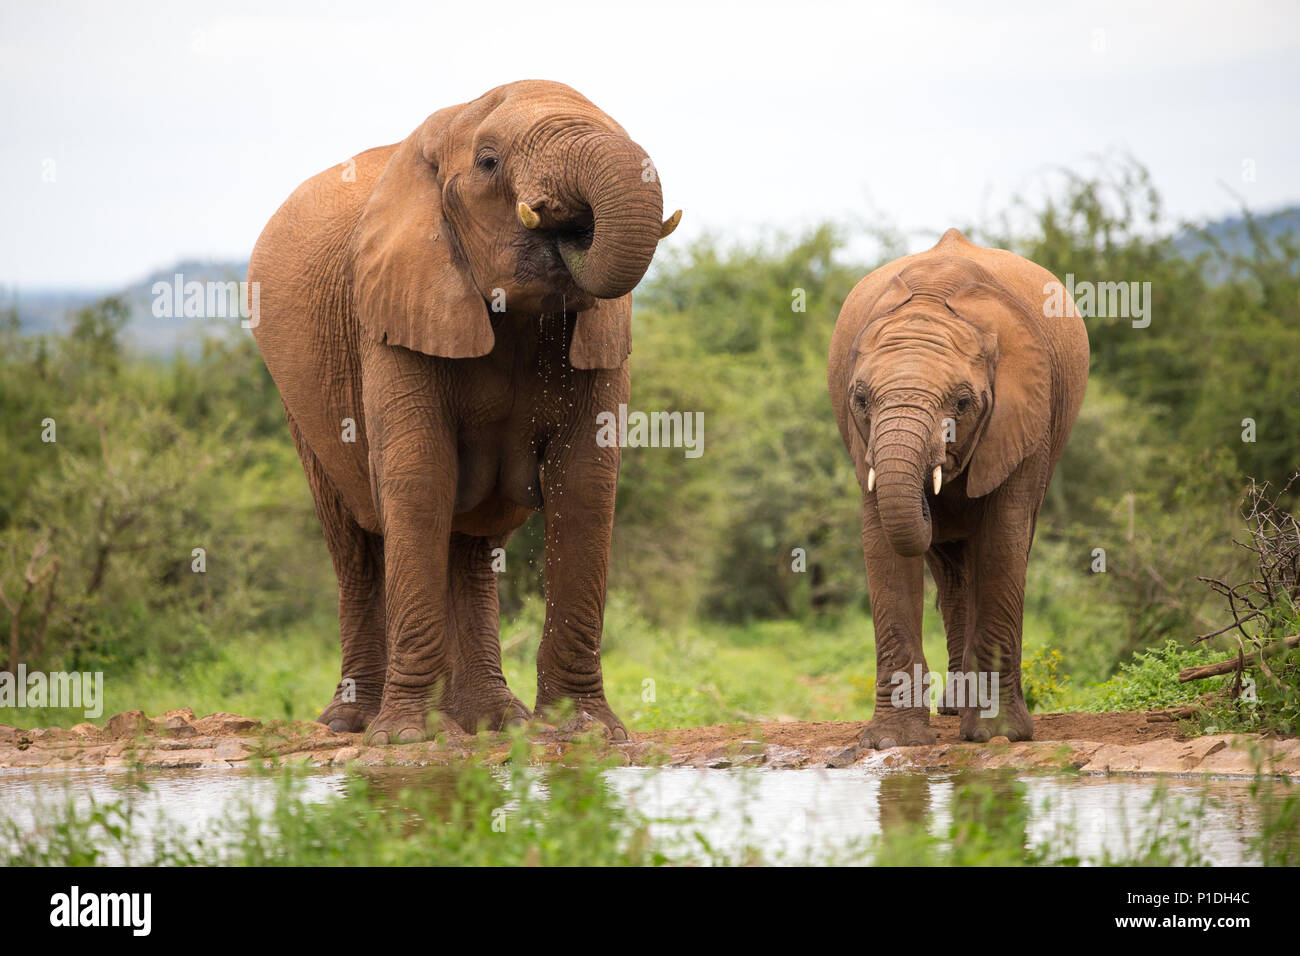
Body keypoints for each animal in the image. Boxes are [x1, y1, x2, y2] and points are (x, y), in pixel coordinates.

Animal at [248, 80, 686, 749]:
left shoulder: (603, 334)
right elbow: (419, 476)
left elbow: (585, 483)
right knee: (354, 547)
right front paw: (406, 739)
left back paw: (493, 721)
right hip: (296, 396)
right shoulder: (392, 307)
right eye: (488, 161)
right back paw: (354, 723)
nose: (569, 227)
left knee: (472, 551)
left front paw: (587, 733)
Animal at [826, 230, 1092, 749]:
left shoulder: (1025, 418)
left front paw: (997, 736)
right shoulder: (862, 442)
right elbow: (883, 545)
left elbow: (1004, 540)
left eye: (964, 403)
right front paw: (893, 742)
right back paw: (952, 709)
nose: (934, 501)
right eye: (861, 399)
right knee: (952, 577)